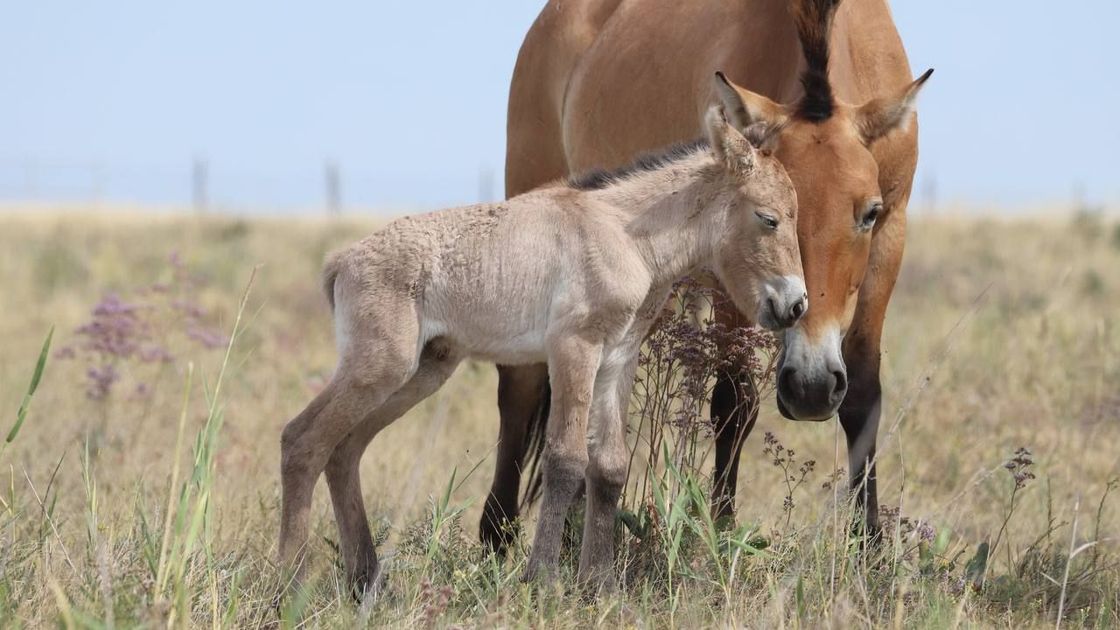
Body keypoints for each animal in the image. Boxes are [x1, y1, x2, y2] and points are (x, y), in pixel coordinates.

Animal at [278, 103, 807, 594]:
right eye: (768, 219)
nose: (795, 305)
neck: (626, 235)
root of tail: (342, 261)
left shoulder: (616, 359)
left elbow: (610, 466)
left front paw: (601, 586)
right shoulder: (574, 348)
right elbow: (566, 459)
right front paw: (545, 581)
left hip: (422, 372)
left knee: (344, 449)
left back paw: (366, 581)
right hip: (381, 367)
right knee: (302, 440)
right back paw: (290, 585)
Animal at [481, 0, 931, 553]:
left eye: (868, 213)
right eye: (763, 216)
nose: (809, 388)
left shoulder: (890, 240)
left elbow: (864, 397)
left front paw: (869, 549)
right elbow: (734, 403)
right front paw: (720, 534)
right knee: (520, 385)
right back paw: (498, 535)